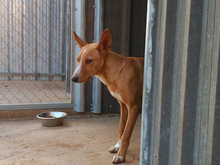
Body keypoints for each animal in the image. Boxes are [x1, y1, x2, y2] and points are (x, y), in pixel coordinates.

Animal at [72, 29, 144, 163]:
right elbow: (121, 128)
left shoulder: (134, 106)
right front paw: (117, 146)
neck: (117, 73)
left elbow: (126, 133)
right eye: (78, 59)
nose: (73, 79)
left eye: (89, 60)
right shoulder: (123, 106)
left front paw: (121, 155)